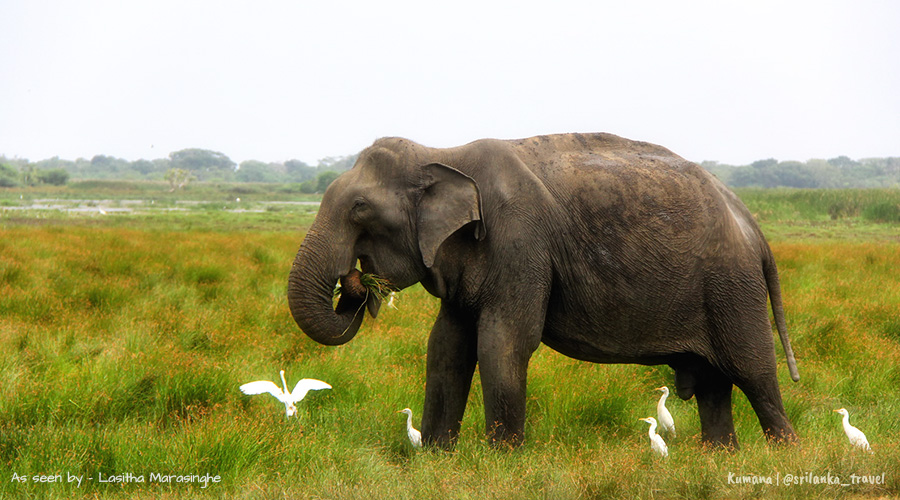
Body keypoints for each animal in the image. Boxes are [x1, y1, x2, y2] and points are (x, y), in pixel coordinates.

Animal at [284, 132, 800, 450]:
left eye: (360, 208)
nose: (354, 283)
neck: (444, 152)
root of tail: (750, 220)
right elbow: (446, 346)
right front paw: (435, 457)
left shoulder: (519, 241)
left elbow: (504, 342)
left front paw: (501, 462)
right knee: (715, 384)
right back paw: (721, 458)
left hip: (733, 287)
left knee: (755, 374)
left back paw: (785, 455)